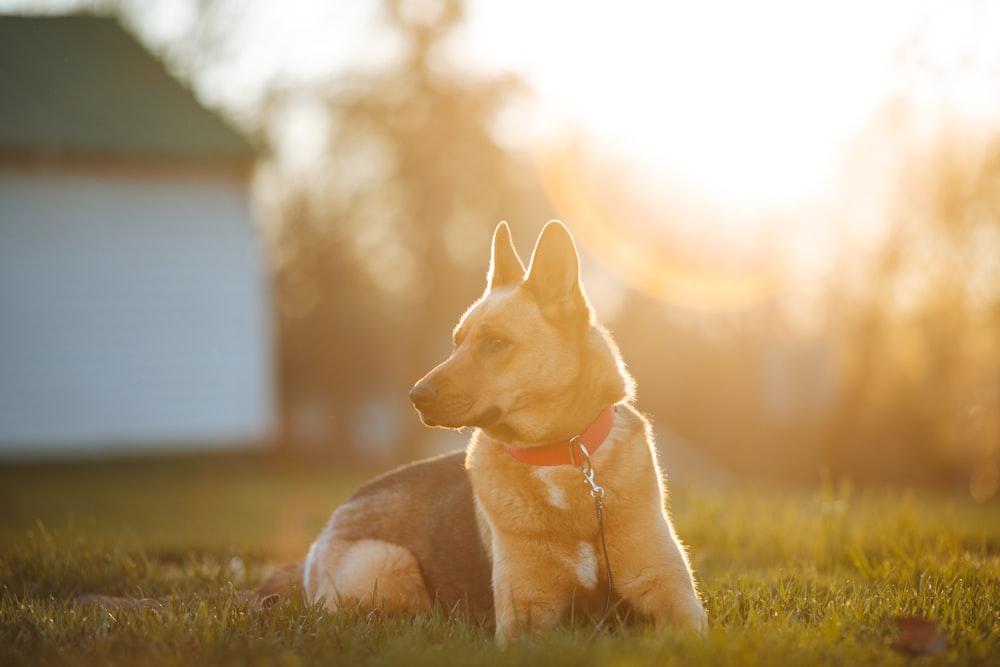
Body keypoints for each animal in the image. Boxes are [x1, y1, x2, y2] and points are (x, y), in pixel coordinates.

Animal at [292, 222, 708, 644]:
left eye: (495, 343)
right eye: (456, 342)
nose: (415, 396)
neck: (560, 454)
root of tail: (327, 529)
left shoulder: (670, 593)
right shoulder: (524, 612)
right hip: (390, 566)